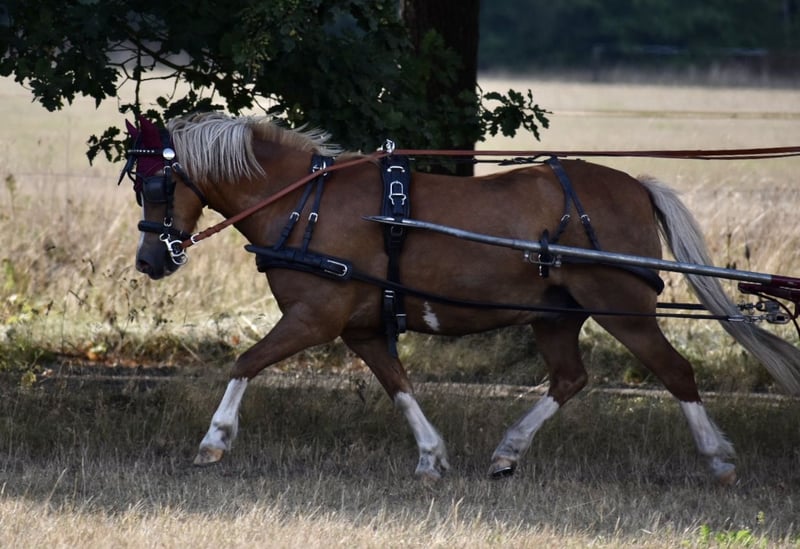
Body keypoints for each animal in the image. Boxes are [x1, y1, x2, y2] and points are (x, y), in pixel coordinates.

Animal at [122, 112, 800, 484]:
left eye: (155, 183)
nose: (150, 260)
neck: (306, 205)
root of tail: (634, 184)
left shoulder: (316, 317)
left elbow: (245, 362)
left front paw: (214, 440)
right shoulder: (360, 326)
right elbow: (399, 384)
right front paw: (431, 456)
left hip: (625, 307)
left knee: (675, 372)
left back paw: (717, 459)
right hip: (555, 314)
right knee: (569, 379)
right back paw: (506, 453)